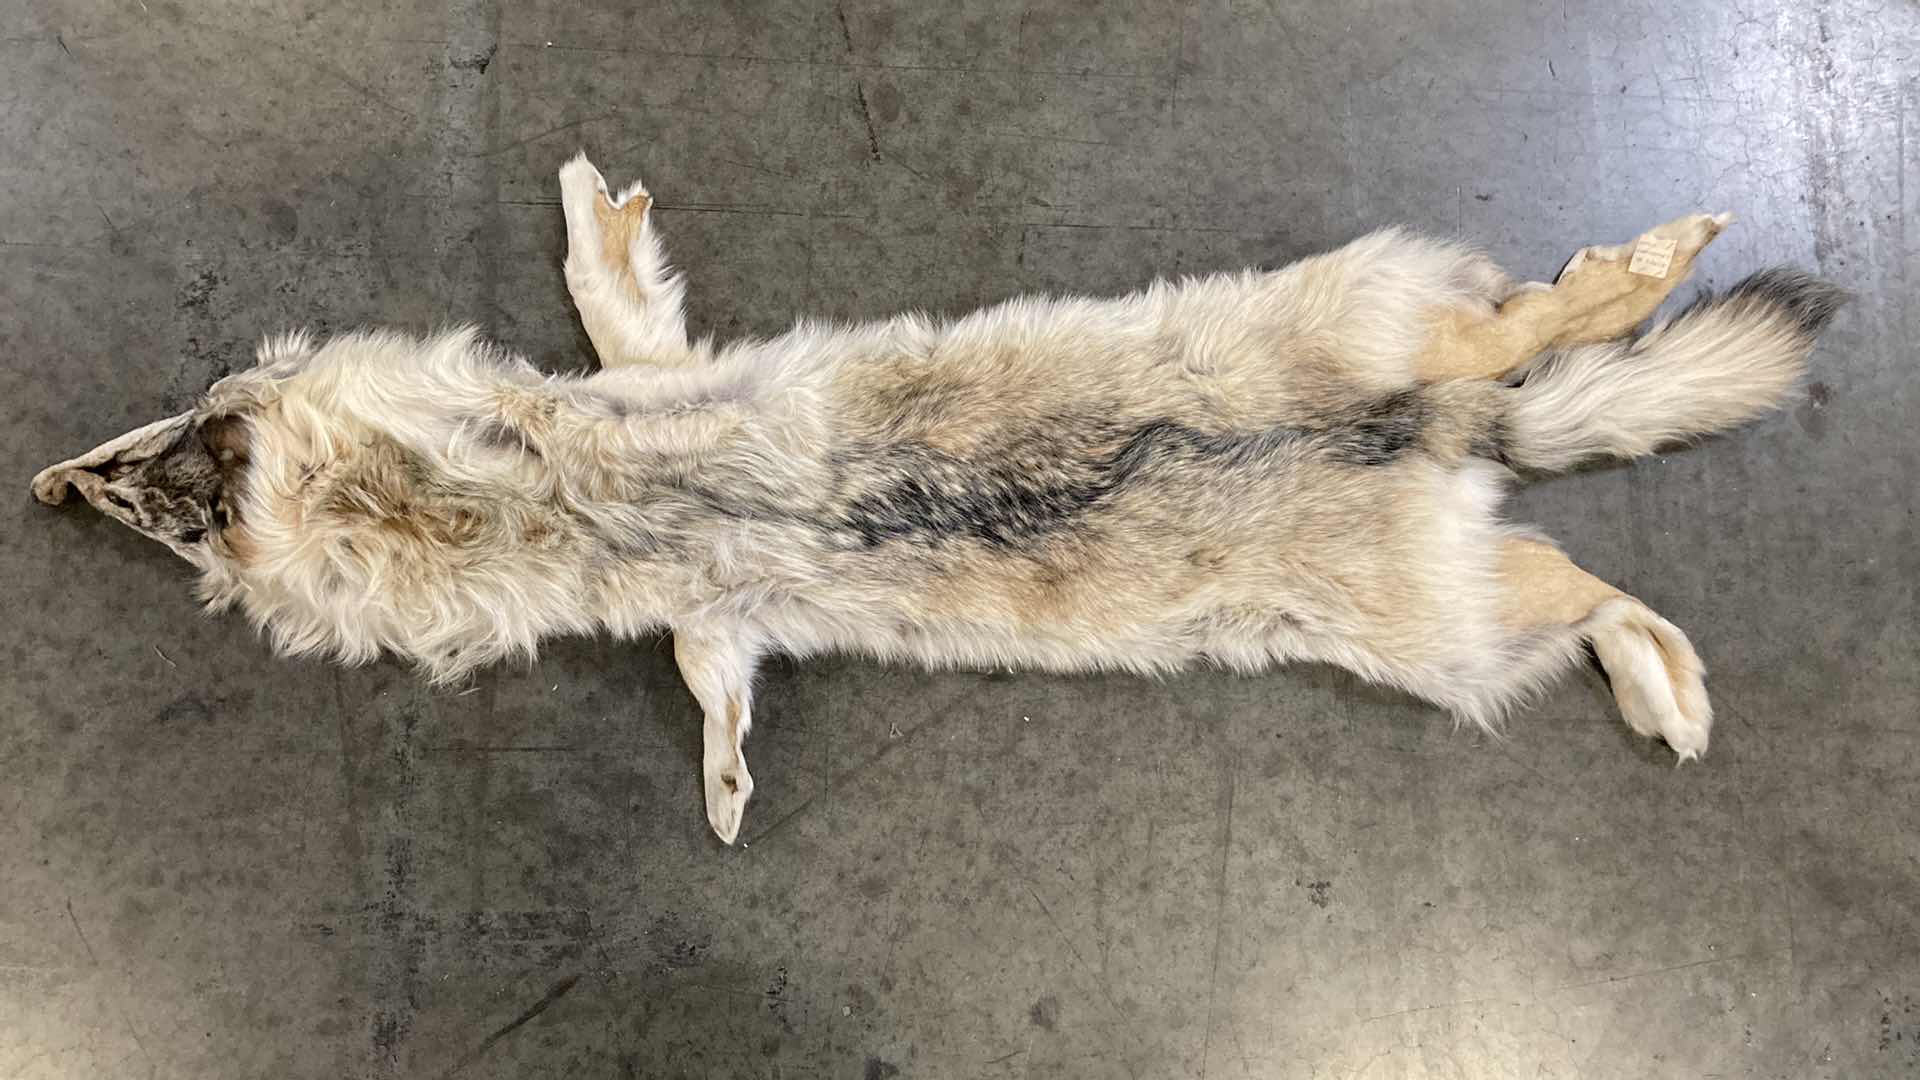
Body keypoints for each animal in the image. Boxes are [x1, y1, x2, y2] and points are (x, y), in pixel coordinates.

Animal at [31, 154, 1846, 843]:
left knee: (1545, 366)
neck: (580, 504)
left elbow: (619, 304)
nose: (60, 481)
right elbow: (720, 685)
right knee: (1559, 512)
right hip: (1432, 583)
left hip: (1392, 387)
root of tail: (1435, 432)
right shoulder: (712, 609)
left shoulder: (653, 414)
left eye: (198, 465)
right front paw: (729, 781)